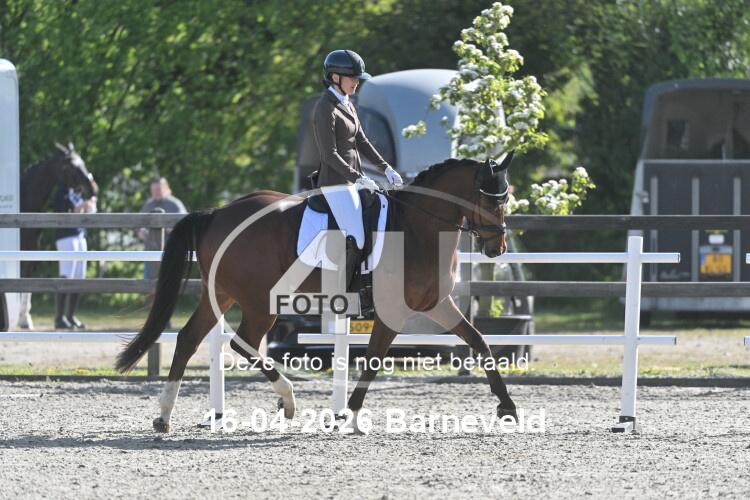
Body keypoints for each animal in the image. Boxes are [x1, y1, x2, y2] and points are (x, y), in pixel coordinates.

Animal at [16, 142, 98, 329]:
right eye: (69, 166)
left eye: (83, 162)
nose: (92, 189)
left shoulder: (29, 258)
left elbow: (26, 285)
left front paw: (25, 320)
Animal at [115, 154, 516, 433]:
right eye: (491, 200)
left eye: (507, 197)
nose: (497, 248)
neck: (419, 228)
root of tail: (217, 212)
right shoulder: (393, 311)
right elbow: (373, 360)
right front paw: (347, 416)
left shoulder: (437, 304)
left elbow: (479, 342)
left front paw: (508, 407)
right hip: (261, 302)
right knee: (242, 343)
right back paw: (288, 401)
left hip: (222, 294)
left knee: (188, 338)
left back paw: (164, 416)